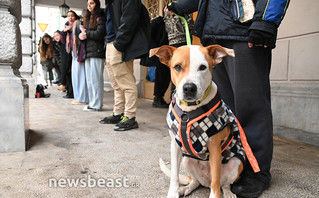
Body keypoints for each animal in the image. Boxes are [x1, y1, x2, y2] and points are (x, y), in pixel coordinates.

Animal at [151, 44, 260, 198]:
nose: (189, 88)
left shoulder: (214, 148)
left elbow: (216, 180)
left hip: (236, 162)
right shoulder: (175, 145)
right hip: (187, 159)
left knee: (223, 184)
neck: (189, 111)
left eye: (203, 67)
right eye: (177, 67)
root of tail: (205, 182)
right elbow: (174, 175)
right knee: (195, 182)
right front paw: (173, 193)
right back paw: (185, 189)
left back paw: (228, 193)